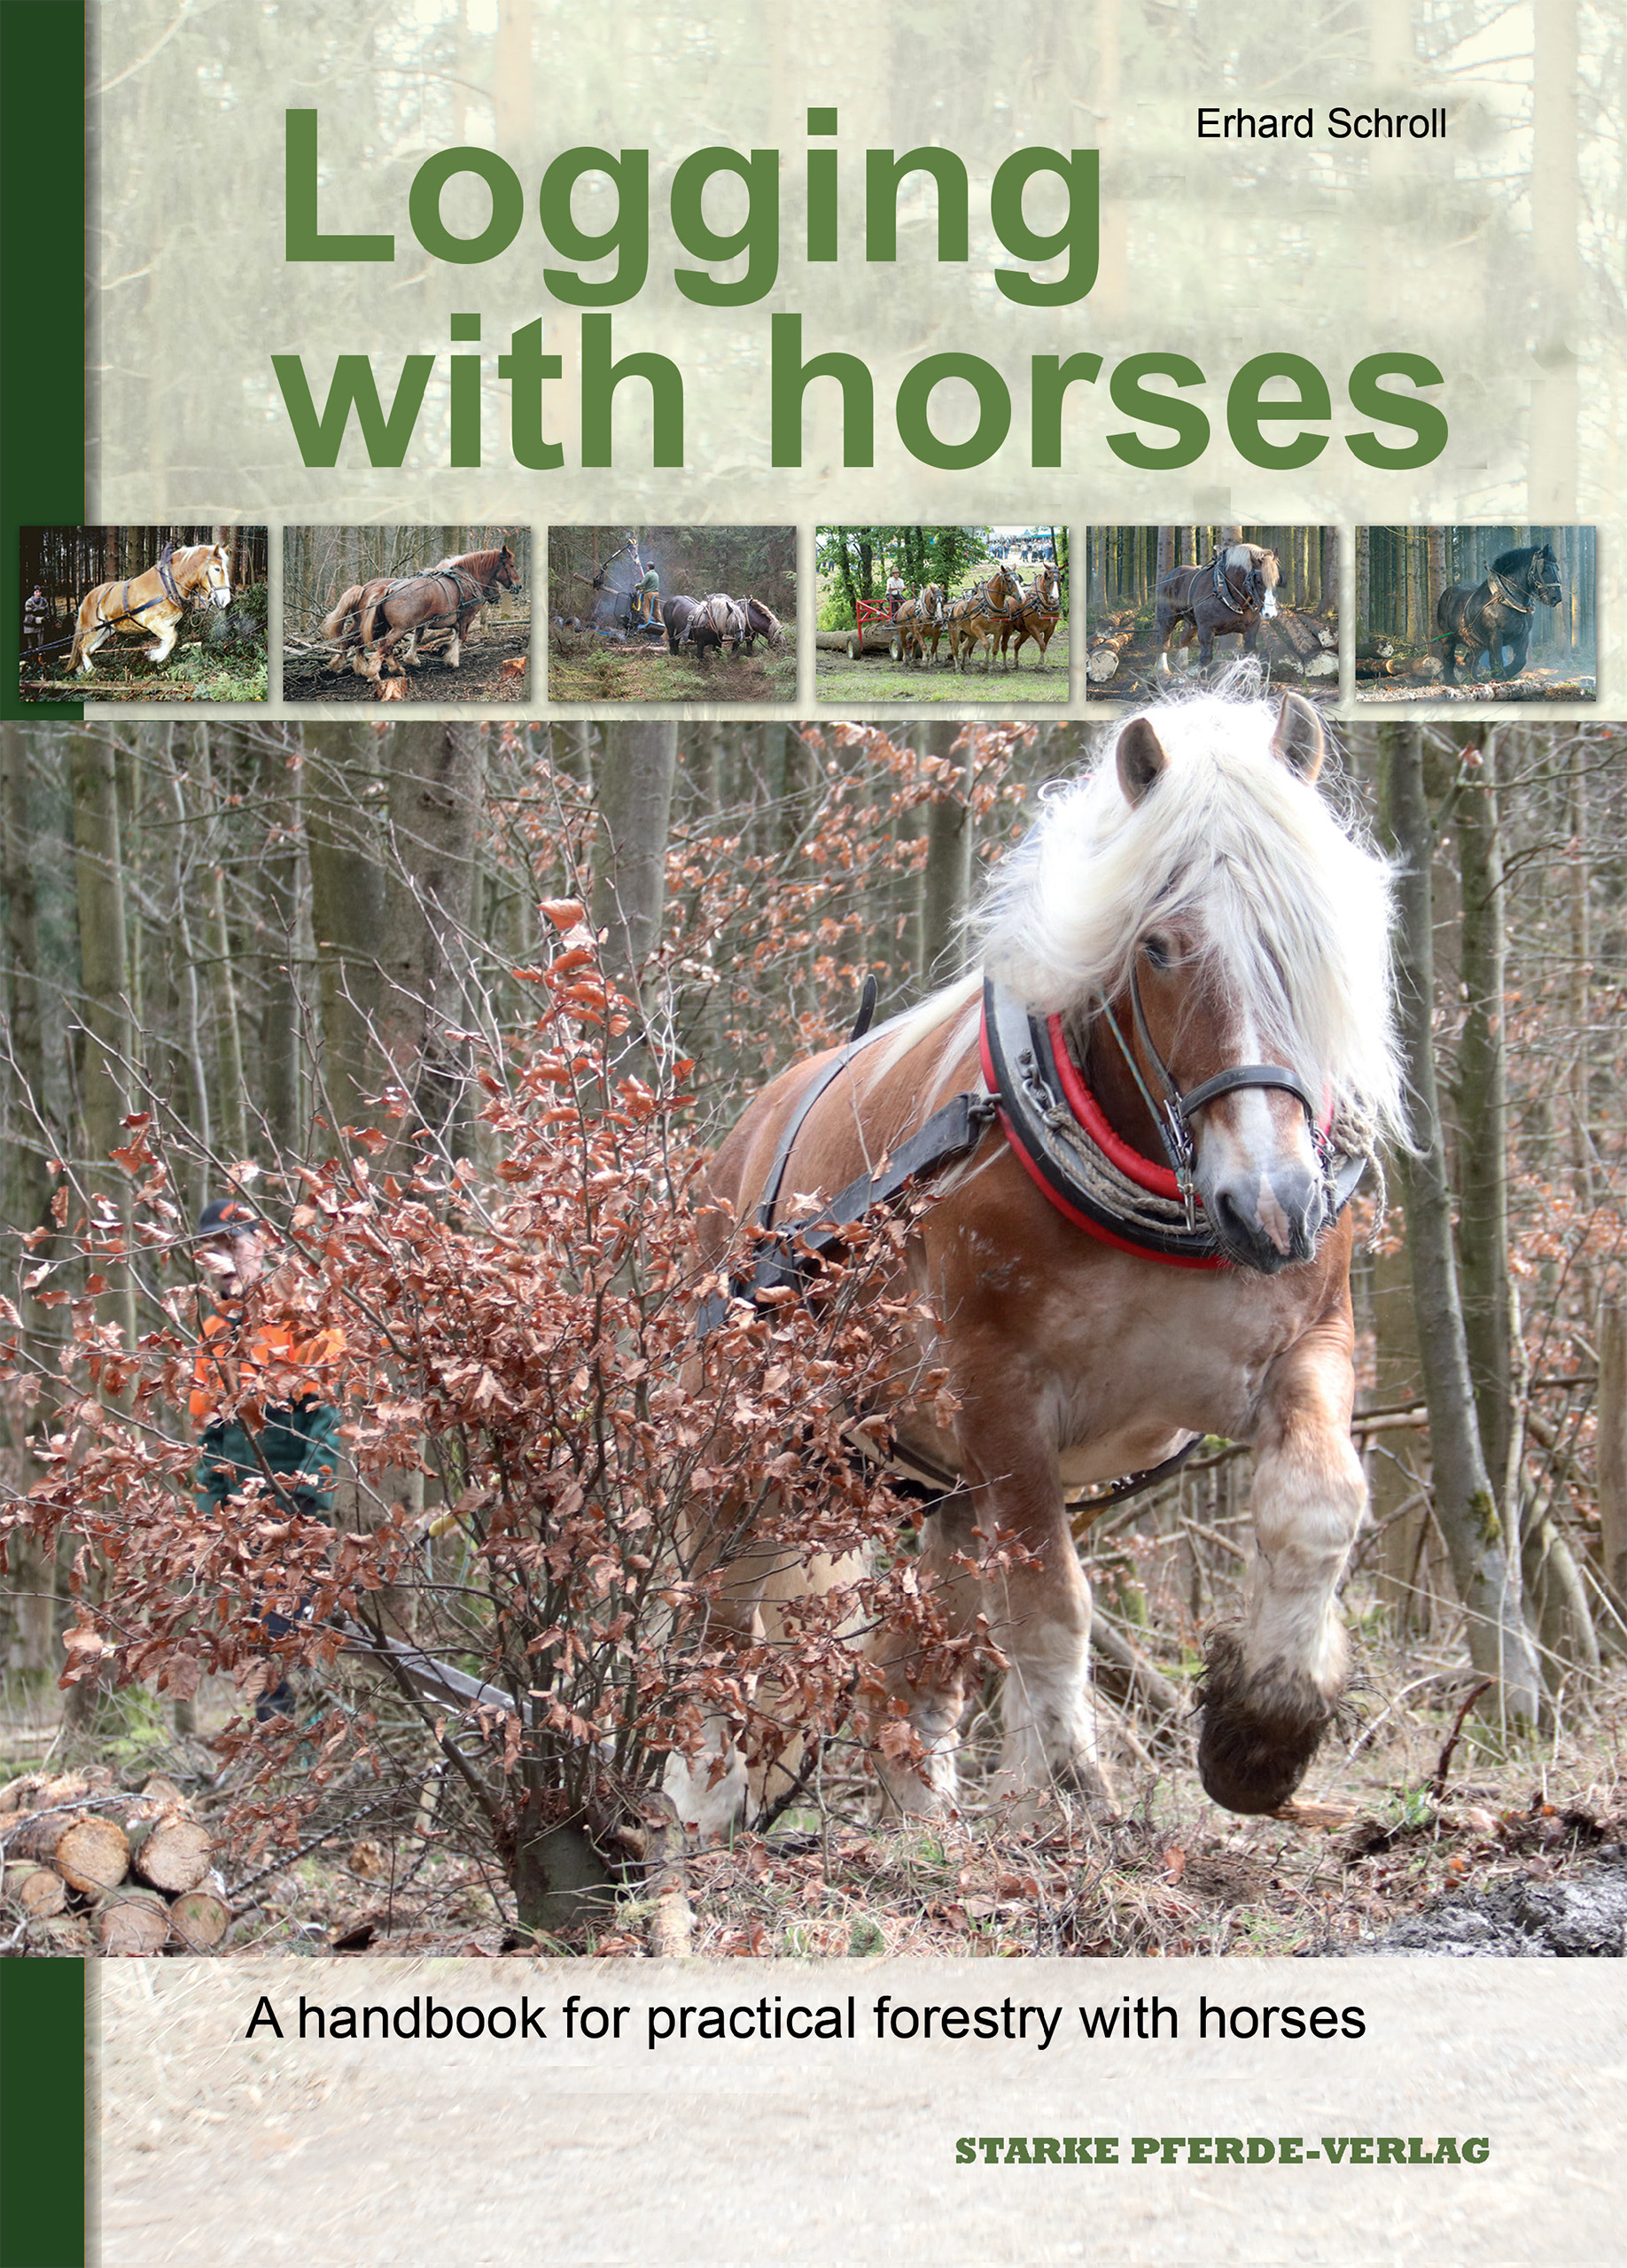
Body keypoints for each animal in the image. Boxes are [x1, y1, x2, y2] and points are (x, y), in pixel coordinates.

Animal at [69, 542, 232, 674]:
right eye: (217, 569)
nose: (226, 600)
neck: (167, 585)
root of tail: (86, 599)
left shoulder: (169, 624)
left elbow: (169, 640)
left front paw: (160, 661)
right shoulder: (152, 621)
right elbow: (172, 638)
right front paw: (153, 656)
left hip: (106, 631)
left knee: (89, 649)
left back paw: (81, 669)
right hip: (93, 630)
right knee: (82, 647)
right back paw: (90, 670)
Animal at [664, 686, 1403, 1842]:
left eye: (1311, 936)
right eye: (1159, 946)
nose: (1273, 1205)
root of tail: (744, 1136)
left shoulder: (1308, 1347)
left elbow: (1317, 1507)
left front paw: (1262, 1732)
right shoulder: (999, 1390)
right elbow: (1048, 1595)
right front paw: (1065, 1785)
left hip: (929, 1473)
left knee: (921, 1646)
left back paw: (918, 1822)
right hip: (750, 1444)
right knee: (722, 1615)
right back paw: (697, 1809)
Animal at [1156, 545, 1280, 677]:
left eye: (1276, 580)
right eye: (1258, 581)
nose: (1271, 613)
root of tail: (1169, 577)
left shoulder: (1251, 628)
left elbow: (1252, 653)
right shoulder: (1206, 628)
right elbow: (1206, 657)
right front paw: (1195, 672)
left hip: (1192, 621)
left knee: (1184, 638)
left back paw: (1183, 665)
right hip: (1167, 618)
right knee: (1163, 640)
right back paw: (1162, 669)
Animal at [1436, 544, 1562, 685]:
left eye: (1556, 569)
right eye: (1544, 569)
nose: (1556, 598)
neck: (1507, 600)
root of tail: (1446, 594)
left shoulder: (1523, 637)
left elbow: (1520, 661)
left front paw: (1503, 674)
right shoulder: (1495, 637)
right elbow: (1497, 662)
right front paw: (1498, 676)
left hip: (1477, 644)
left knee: (1471, 662)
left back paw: (1475, 681)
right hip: (1447, 638)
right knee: (1449, 660)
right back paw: (1452, 682)